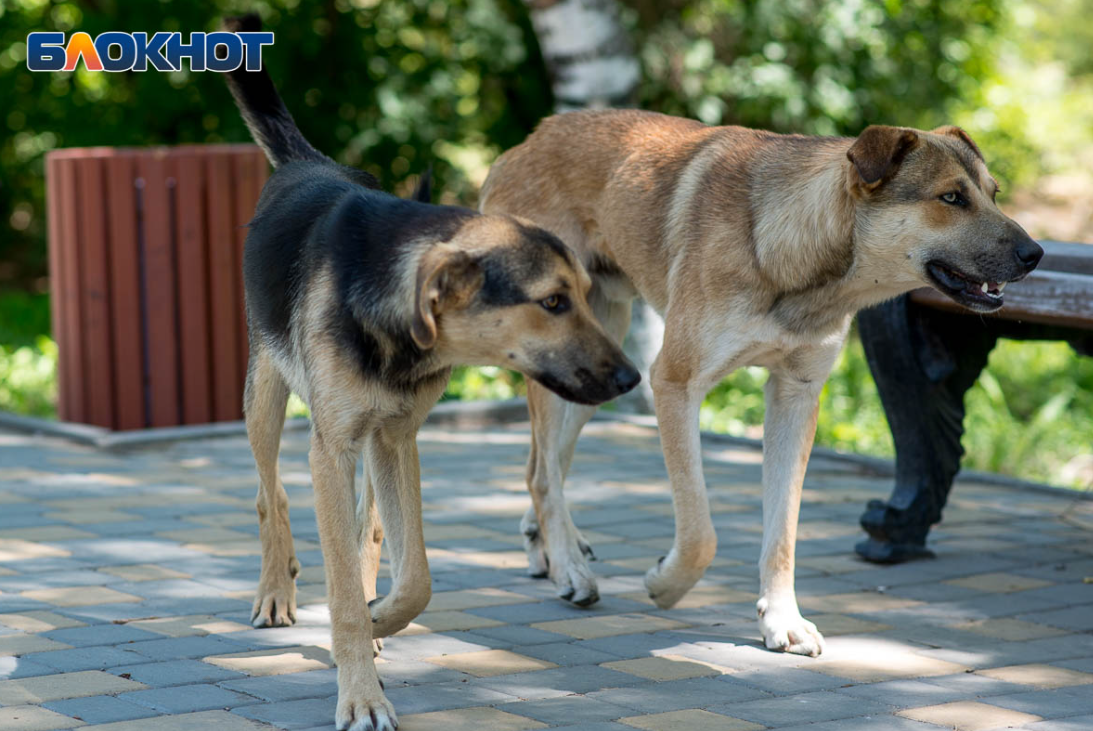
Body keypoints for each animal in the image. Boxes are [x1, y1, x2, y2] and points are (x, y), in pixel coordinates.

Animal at [222, 18, 638, 729]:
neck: (394, 322)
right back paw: (277, 592)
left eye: (585, 296)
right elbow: (338, 577)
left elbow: (413, 574)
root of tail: (310, 162)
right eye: (553, 302)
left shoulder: (395, 439)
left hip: (369, 445)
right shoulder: (332, 448)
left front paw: (377, 620)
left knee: (366, 530)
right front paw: (360, 690)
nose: (631, 379)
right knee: (268, 494)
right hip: (266, 397)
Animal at [483, 109, 1044, 655]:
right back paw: (570, 569)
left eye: (993, 193)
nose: (1036, 253)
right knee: (543, 474)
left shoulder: (795, 397)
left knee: (543, 464)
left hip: (594, 369)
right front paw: (665, 584)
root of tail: (526, 143)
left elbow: (783, 532)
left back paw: (547, 548)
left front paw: (782, 620)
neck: (786, 252)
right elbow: (700, 532)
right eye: (951, 197)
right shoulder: (675, 384)